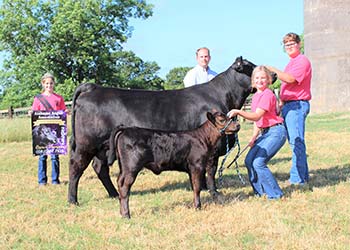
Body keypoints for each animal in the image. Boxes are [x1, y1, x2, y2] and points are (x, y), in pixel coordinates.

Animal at [69, 56, 262, 205]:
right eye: (252, 67)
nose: (268, 74)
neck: (223, 96)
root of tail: (93, 87)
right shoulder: (213, 148)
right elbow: (211, 170)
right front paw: (214, 192)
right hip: (85, 145)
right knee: (76, 167)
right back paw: (73, 200)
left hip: (103, 147)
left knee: (100, 168)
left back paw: (114, 194)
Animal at [108, 111, 241, 219]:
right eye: (221, 120)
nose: (238, 125)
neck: (204, 139)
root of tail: (126, 129)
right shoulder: (196, 165)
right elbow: (197, 187)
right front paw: (198, 207)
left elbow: (194, 186)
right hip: (131, 167)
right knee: (124, 187)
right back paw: (126, 215)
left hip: (124, 168)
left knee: (119, 182)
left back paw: (122, 213)